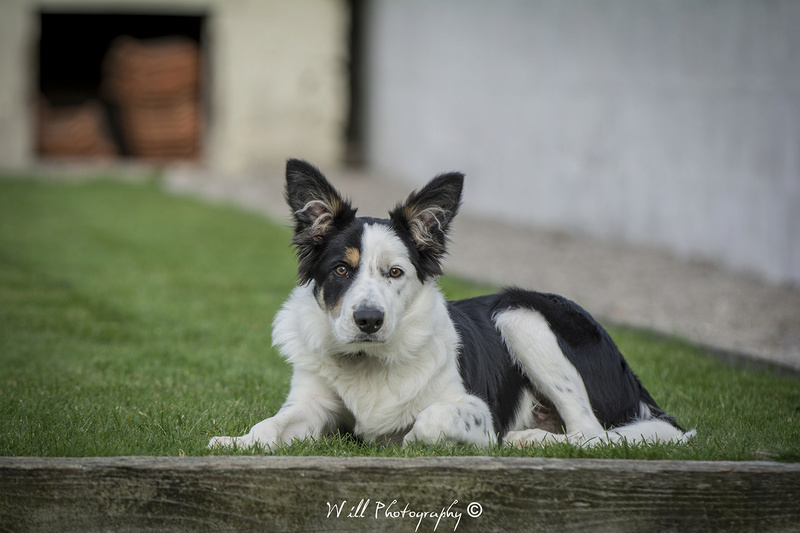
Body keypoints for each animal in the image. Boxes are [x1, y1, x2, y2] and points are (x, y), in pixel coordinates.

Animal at [209, 159, 692, 448]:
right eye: (341, 270)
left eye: (395, 272)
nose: (368, 320)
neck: (369, 362)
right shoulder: (310, 405)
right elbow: (270, 424)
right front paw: (238, 443)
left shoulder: (475, 409)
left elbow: (428, 421)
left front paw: (403, 441)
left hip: (519, 314)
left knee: (592, 432)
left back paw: (531, 440)